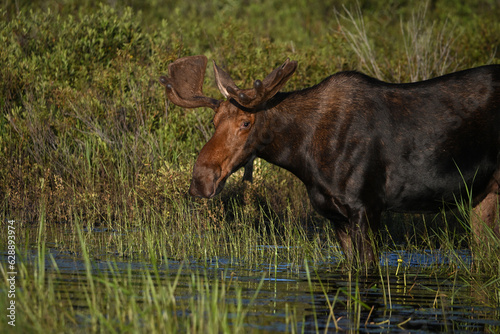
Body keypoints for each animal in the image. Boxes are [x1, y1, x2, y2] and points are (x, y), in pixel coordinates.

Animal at [160, 54, 500, 264]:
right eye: (214, 120)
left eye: (246, 123)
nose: (200, 179)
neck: (304, 159)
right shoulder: (335, 216)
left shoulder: (367, 208)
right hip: (484, 195)